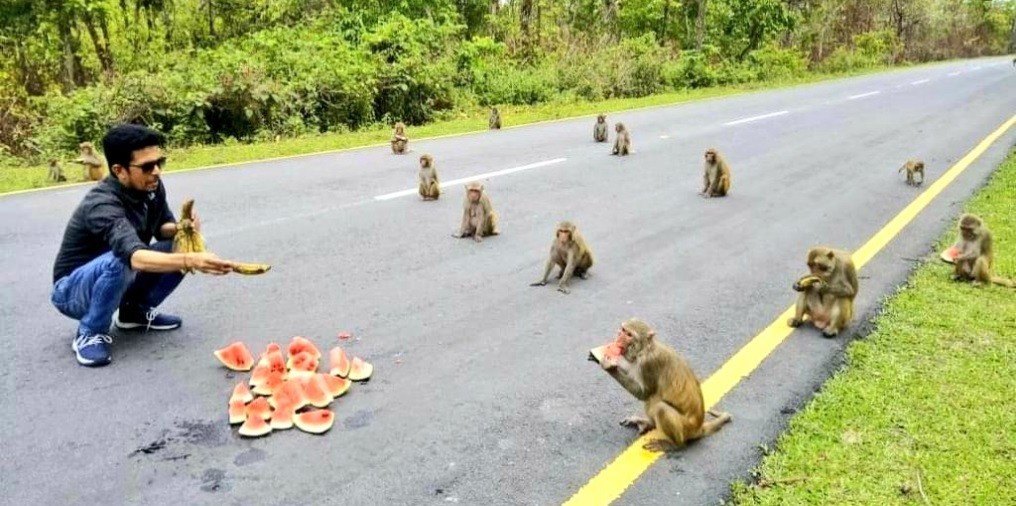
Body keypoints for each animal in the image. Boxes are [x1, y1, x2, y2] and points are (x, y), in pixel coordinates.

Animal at [594, 318, 732, 452]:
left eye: (629, 335)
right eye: (623, 330)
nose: (618, 338)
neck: (644, 350)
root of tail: (698, 428)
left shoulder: (648, 364)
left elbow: (644, 393)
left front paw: (609, 366)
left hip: (685, 429)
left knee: (660, 406)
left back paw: (675, 445)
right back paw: (648, 423)